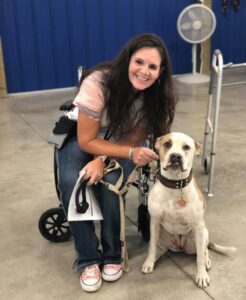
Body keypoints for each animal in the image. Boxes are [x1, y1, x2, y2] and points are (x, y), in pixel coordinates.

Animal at [142, 132, 236, 288]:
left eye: (186, 147)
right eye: (167, 144)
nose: (175, 156)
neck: (175, 185)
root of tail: (180, 246)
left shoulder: (198, 225)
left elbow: (200, 259)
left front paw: (202, 276)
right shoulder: (154, 222)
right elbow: (151, 247)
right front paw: (149, 262)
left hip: (203, 233)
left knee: (203, 251)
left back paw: (207, 261)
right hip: (161, 234)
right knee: (158, 247)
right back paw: (155, 257)